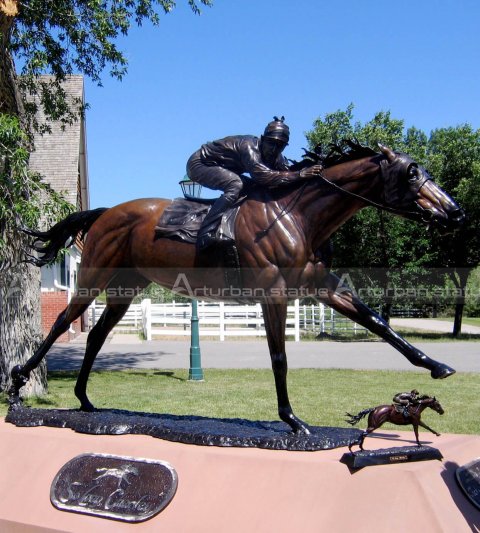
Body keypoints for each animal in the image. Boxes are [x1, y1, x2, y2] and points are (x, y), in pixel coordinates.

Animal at [8, 143, 464, 434]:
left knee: (97, 336)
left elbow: (379, 323)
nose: (455, 212)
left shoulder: (323, 286)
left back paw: (85, 399)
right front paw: (292, 419)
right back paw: (17, 380)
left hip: (125, 288)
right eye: (412, 172)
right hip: (94, 277)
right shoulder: (273, 293)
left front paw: (436, 365)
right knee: (61, 322)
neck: (298, 216)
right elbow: (279, 357)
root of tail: (104, 212)